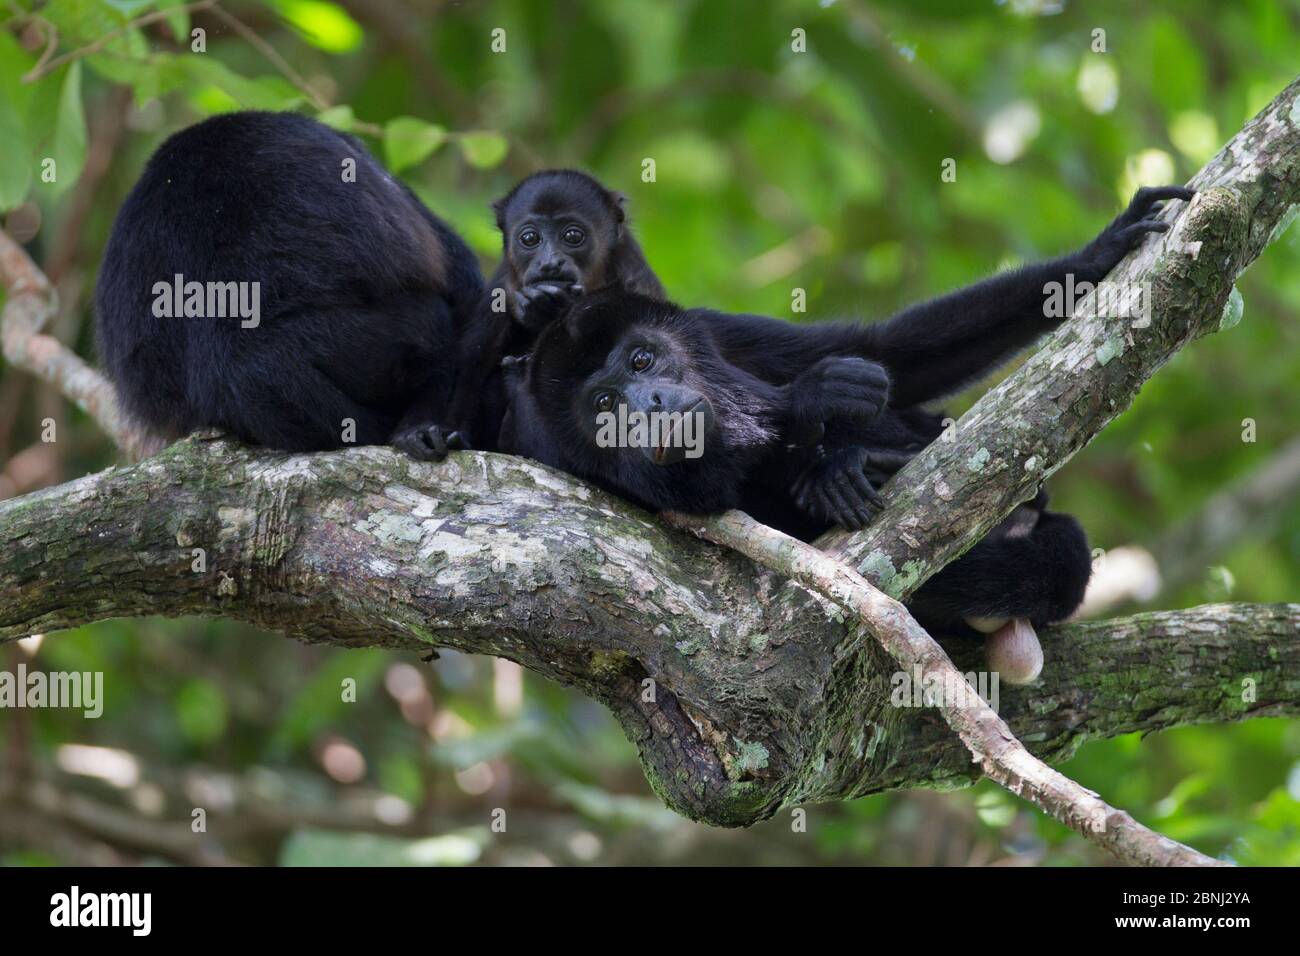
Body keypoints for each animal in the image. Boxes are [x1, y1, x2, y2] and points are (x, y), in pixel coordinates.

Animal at [501, 187, 1190, 676]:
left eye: (642, 360)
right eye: (605, 404)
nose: (648, 405)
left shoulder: (717, 330)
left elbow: (885, 352)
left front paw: (1095, 255)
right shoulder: (583, 465)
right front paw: (810, 414)